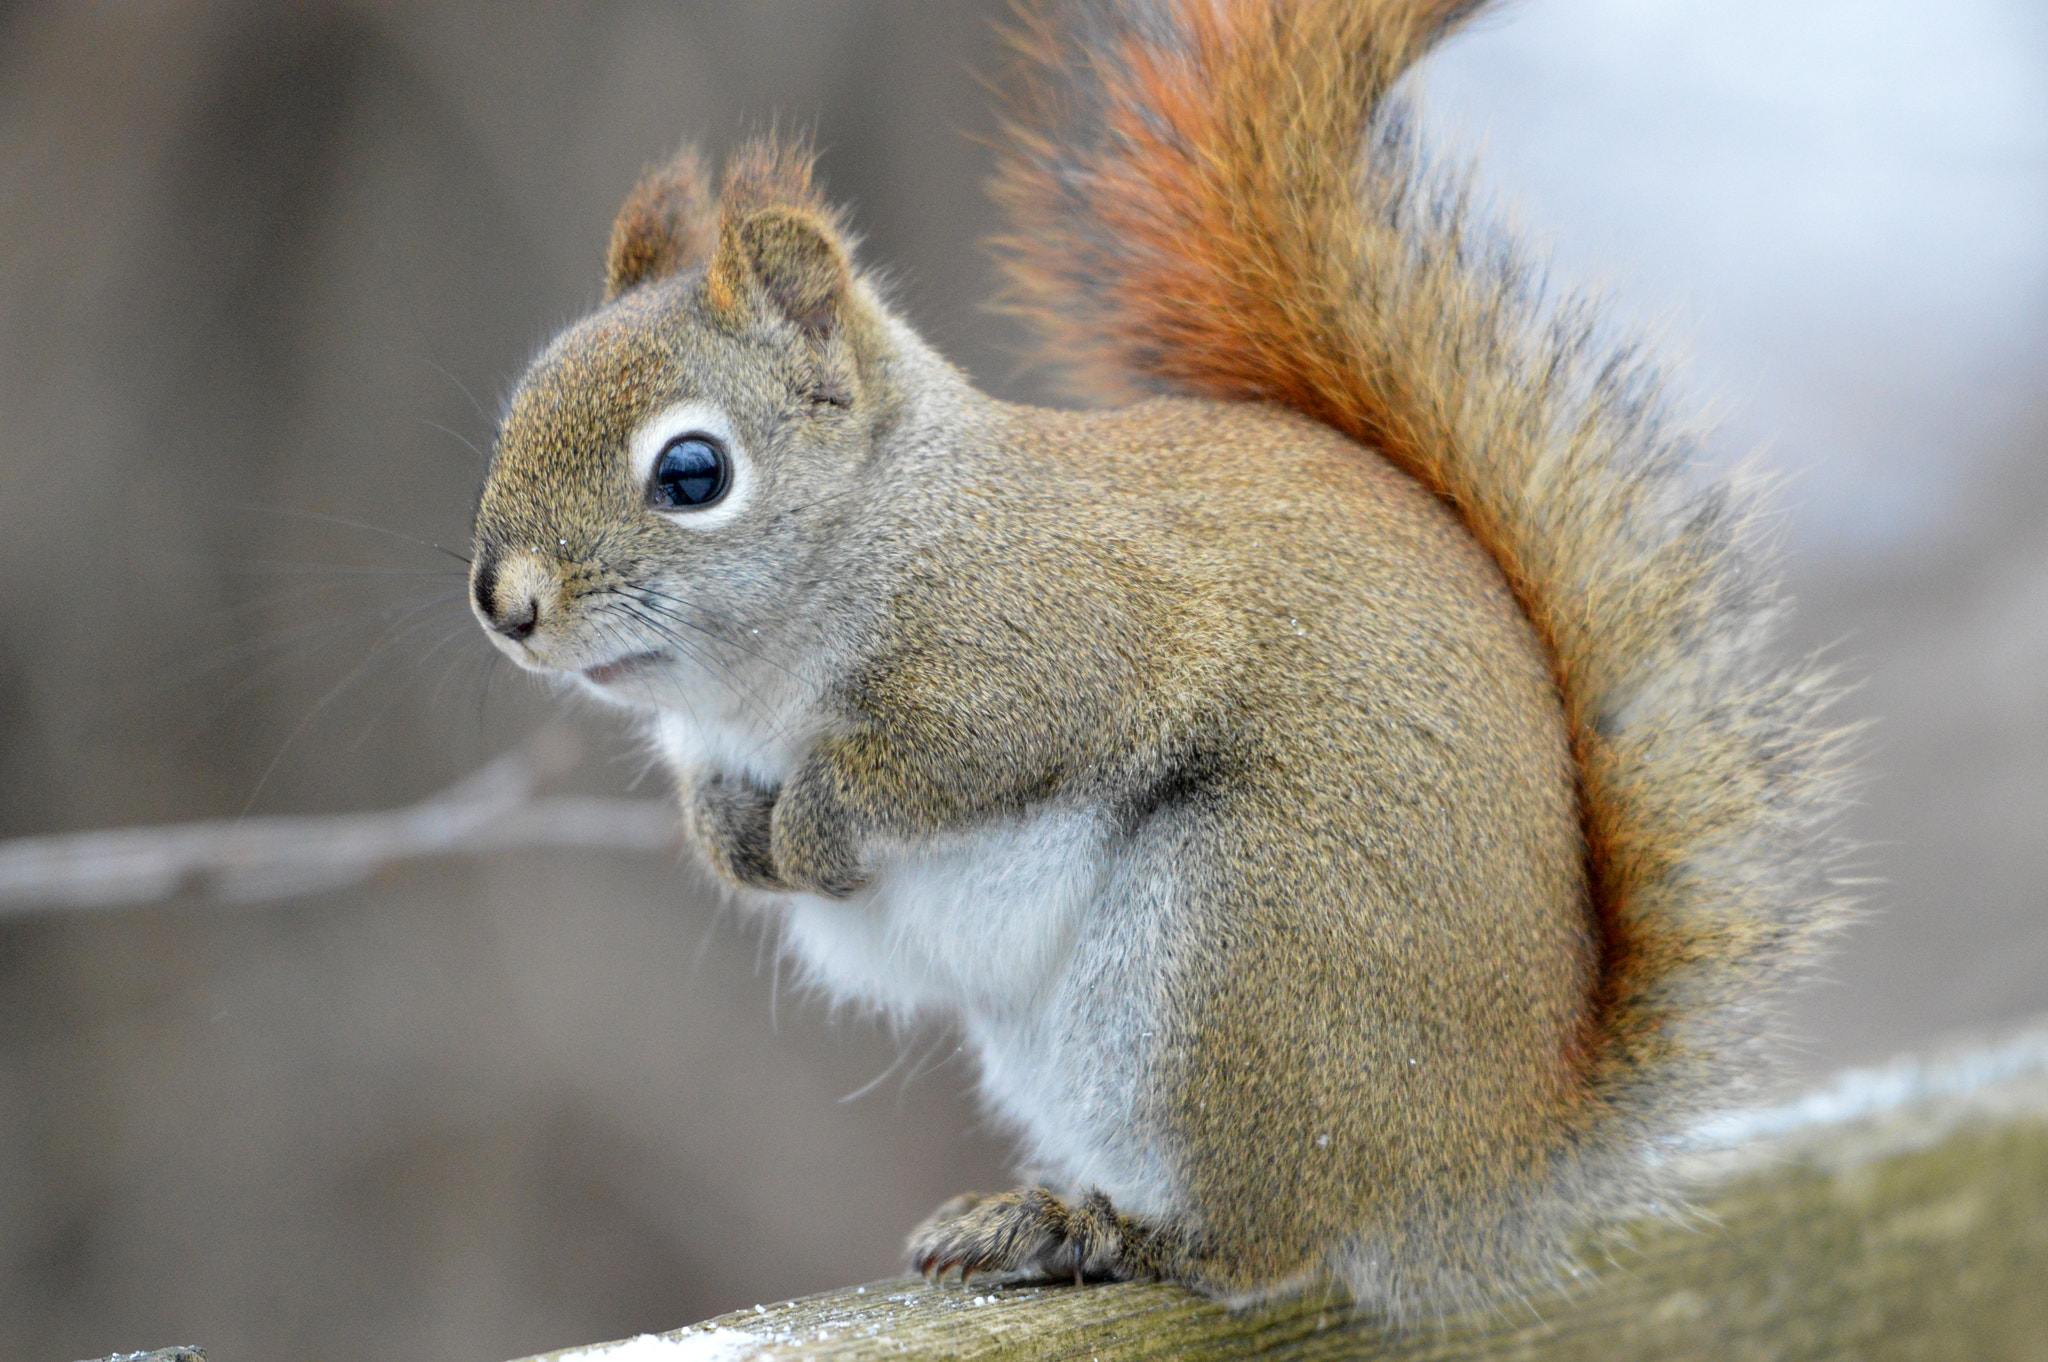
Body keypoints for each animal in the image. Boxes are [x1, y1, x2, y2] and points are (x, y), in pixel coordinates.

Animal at [468, 0, 1850, 1315]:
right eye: (518, 405)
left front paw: (810, 828)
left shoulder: (1054, 642)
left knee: (1261, 1242)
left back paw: (1094, 1236)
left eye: (692, 473)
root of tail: (1486, 1156)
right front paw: (728, 838)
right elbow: (722, 801)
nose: (504, 603)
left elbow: (930, 764)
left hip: (1235, 955)